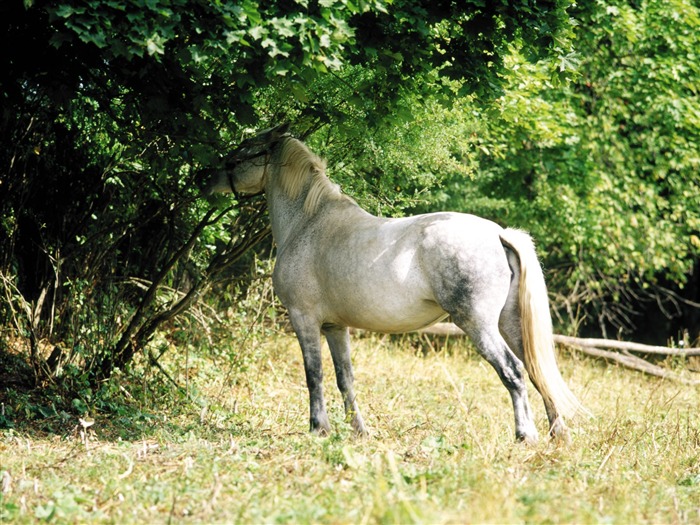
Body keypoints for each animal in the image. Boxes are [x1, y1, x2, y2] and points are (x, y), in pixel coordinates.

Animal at [205, 124, 588, 442]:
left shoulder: (304, 319)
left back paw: (526, 435)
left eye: (244, 150)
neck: (308, 222)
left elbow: (314, 374)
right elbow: (345, 378)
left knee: (513, 372)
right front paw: (358, 431)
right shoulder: (334, 327)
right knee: (536, 371)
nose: (204, 177)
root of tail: (497, 233)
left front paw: (318, 428)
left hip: (479, 325)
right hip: (509, 323)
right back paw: (557, 434)